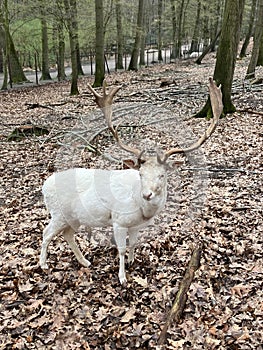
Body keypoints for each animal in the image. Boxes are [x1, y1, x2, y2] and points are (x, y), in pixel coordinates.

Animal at [40, 78, 224, 284]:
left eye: (162, 175)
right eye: (141, 173)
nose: (147, 194)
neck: (141, 209)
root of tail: (44, 186)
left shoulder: (135, 226)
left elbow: (134, 242)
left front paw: (132, 261)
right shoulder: (118, 221)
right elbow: (120, 249)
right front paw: (122, 277)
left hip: (73, 218)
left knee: (67, 234)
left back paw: (85, 261)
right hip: (58, 213)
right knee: (46, 233)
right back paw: (44, 265)